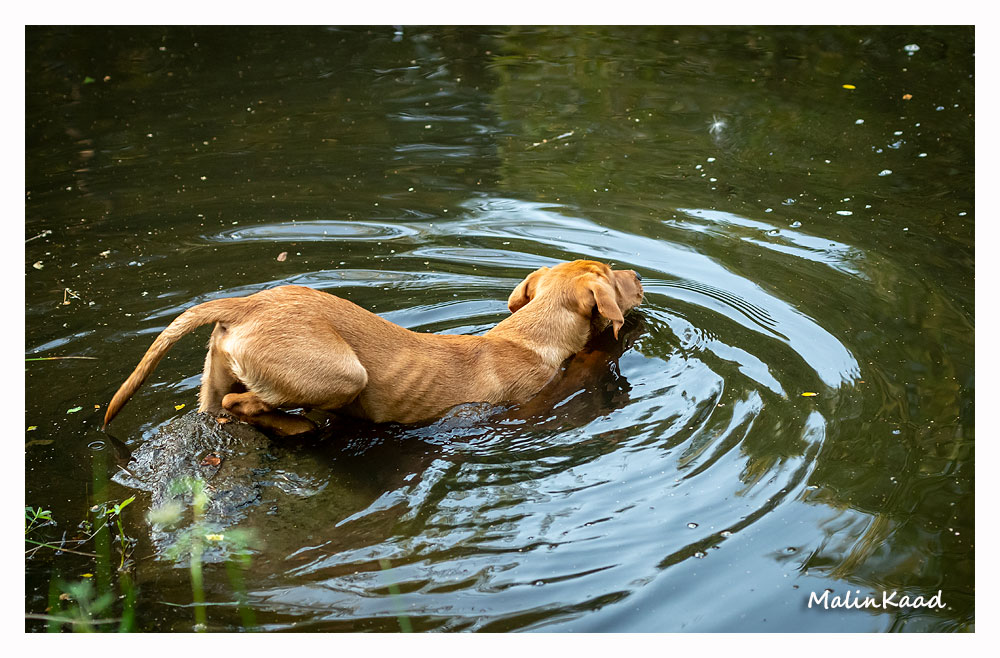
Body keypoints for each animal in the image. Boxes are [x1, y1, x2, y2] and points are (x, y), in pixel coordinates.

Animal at [103, 260, 643, 436]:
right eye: (610, 274)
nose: (638, 275)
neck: (527, 334)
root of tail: (245, 304)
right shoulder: (537, 397)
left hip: (215, 373)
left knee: (220, 407)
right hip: (344, 375)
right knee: (247, 404)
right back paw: (301, 427)